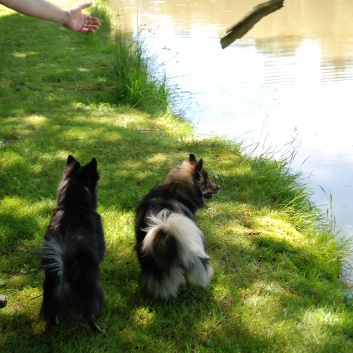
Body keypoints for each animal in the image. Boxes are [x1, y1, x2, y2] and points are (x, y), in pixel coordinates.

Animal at [40, 155, 104, 332]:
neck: (74, 206)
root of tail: (64, 272)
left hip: (49, 298)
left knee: (52, 317)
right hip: (93, 292)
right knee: (89, 316)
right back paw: (100, 330)